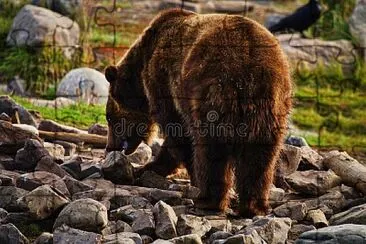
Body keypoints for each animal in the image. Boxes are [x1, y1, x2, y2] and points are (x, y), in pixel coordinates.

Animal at [104, 8, 294, 216]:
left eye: (109, 118)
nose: (110, 148)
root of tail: (252, 73)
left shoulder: (164, 83)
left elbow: (178, 132)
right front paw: (148, 168)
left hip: (214, 92)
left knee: (211, 149)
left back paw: (208, 201)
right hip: (273, 107)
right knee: (261, 157)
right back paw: (253, 206)